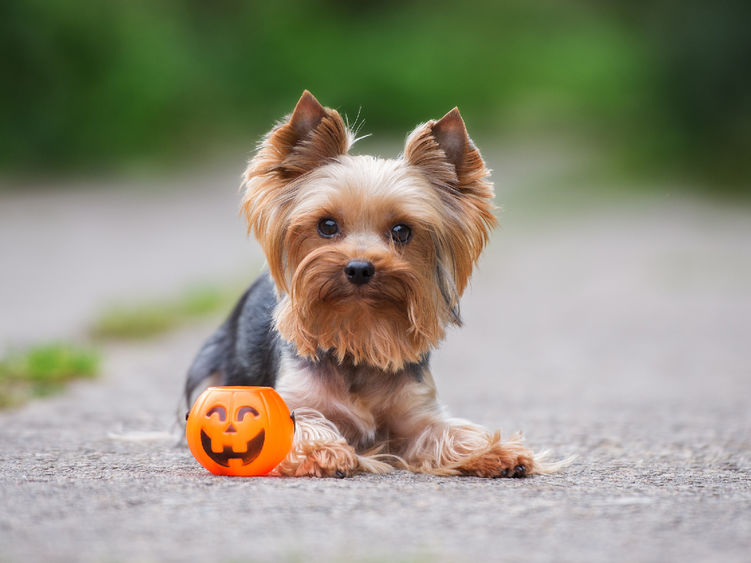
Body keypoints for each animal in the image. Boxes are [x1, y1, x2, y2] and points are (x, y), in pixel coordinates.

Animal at [187, 90, 552, 478]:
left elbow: (447, 434)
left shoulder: (417, 412)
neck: (359, 333)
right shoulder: (293, 399)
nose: (360, 268)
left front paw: (498, 452)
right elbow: (298, 426)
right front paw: (324, 451)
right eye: (327, 225)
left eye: (402, 230)